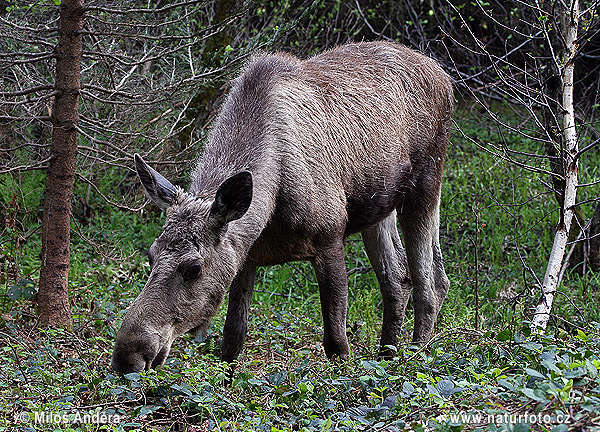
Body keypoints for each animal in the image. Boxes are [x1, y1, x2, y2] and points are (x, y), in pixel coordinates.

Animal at [110, 40, 452, 372]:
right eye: (150, 255)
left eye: (193, 267)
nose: (127, 356)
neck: (271, 210)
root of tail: (445, 76)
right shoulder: (244, 256)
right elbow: (232, 341)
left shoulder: (330, 238)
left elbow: (337, 344)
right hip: (379, 206)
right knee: (397, 279)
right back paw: (385, 357)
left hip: (426, 182)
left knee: (431, 282)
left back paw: (414, 359)